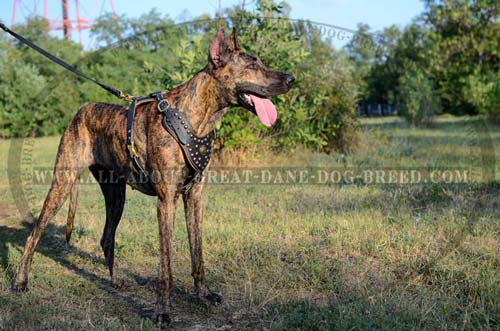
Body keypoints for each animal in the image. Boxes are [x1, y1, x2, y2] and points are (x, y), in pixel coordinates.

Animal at [11, 27, 294, 326]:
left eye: (261, 62)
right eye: (251, 66)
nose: (291, 79)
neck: (194, 117)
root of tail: (80, 110)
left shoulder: (194, 198)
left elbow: (198, 253)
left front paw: (203, 295)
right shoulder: (166, 201)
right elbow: (165, 266)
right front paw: (162, 311)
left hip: (116, 196)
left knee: (106, 237)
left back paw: (116, 281)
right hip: (62, 184)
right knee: (33, 235)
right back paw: (20, 282)